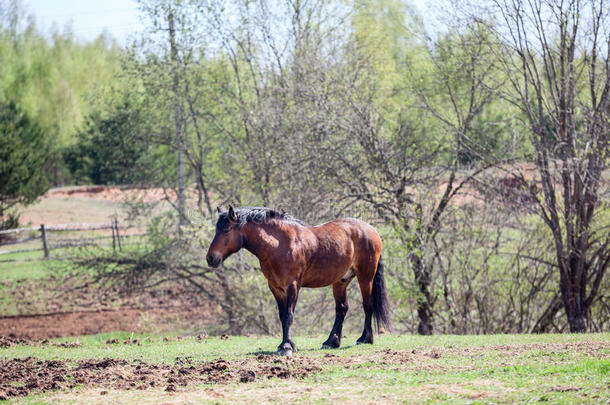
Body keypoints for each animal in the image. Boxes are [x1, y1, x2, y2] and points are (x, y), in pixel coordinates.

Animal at [205, 205, 390, 354]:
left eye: (226, 229)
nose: (211, 258)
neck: (279, 245)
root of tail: (371, 229)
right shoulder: (275, 288)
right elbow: (282, 316)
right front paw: (285, 344)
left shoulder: (292, 286)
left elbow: (289, 315)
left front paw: (287, 346)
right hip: (340, 281)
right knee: (342, 309)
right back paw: (331, 342)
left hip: (365, 277)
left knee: (367, 304)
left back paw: (365, 339)